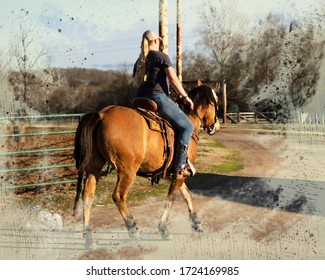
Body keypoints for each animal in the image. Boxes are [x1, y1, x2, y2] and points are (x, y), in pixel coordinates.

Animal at [73, 83, 220, 247]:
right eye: (216, 102)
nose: (216, 126)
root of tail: (102, 114)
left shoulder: (174, 174)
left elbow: (187, 195)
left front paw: (196, 222)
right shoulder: (179, 174)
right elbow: (171, 199)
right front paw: (163, 229)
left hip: (94, 167)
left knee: (87, 195)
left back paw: (88, 237)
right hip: (127, 171)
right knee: (118, 196)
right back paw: (133, 229)